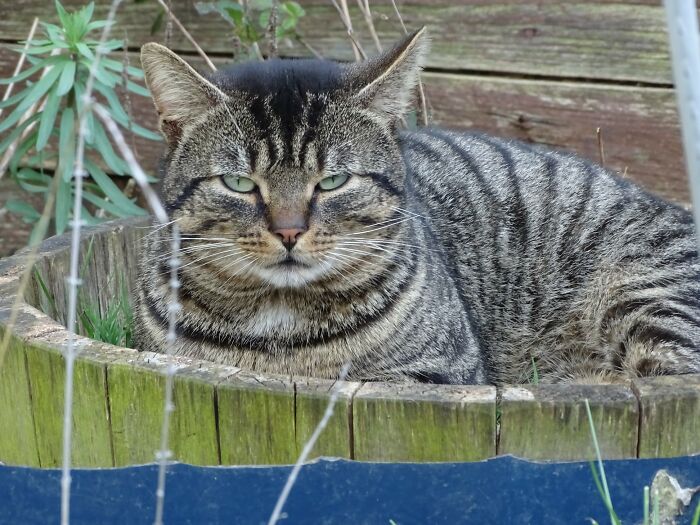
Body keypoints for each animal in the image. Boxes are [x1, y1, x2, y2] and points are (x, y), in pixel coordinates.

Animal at [134, 30, 700, 382]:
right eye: (239, 183)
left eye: (333, 181)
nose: (289, 232)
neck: (278, 330)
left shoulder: (441, 371)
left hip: (647, 298)